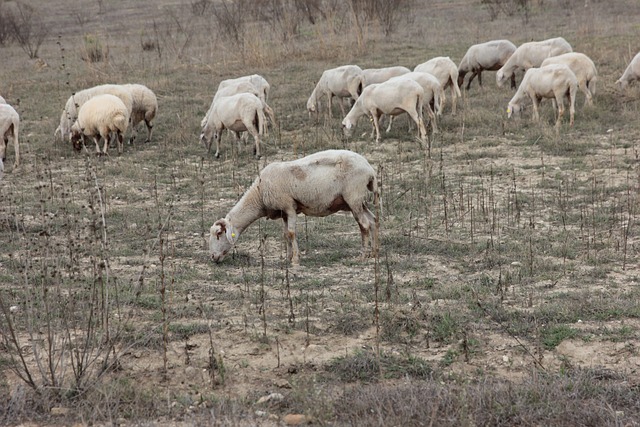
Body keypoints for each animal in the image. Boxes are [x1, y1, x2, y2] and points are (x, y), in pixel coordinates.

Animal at [210, 150, 380, 264]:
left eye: (219, 233)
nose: (212, 257)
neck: (259, 193)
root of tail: (369, 169)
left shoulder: (289, 207)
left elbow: (291, 233)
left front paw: (295, 260)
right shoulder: (283, 212)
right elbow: (285, 234)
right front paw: (288, 257)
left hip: (353, 197)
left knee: (364, 224)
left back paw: (363, 255)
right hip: (358, 202)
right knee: (373, 221)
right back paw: (374, 252)